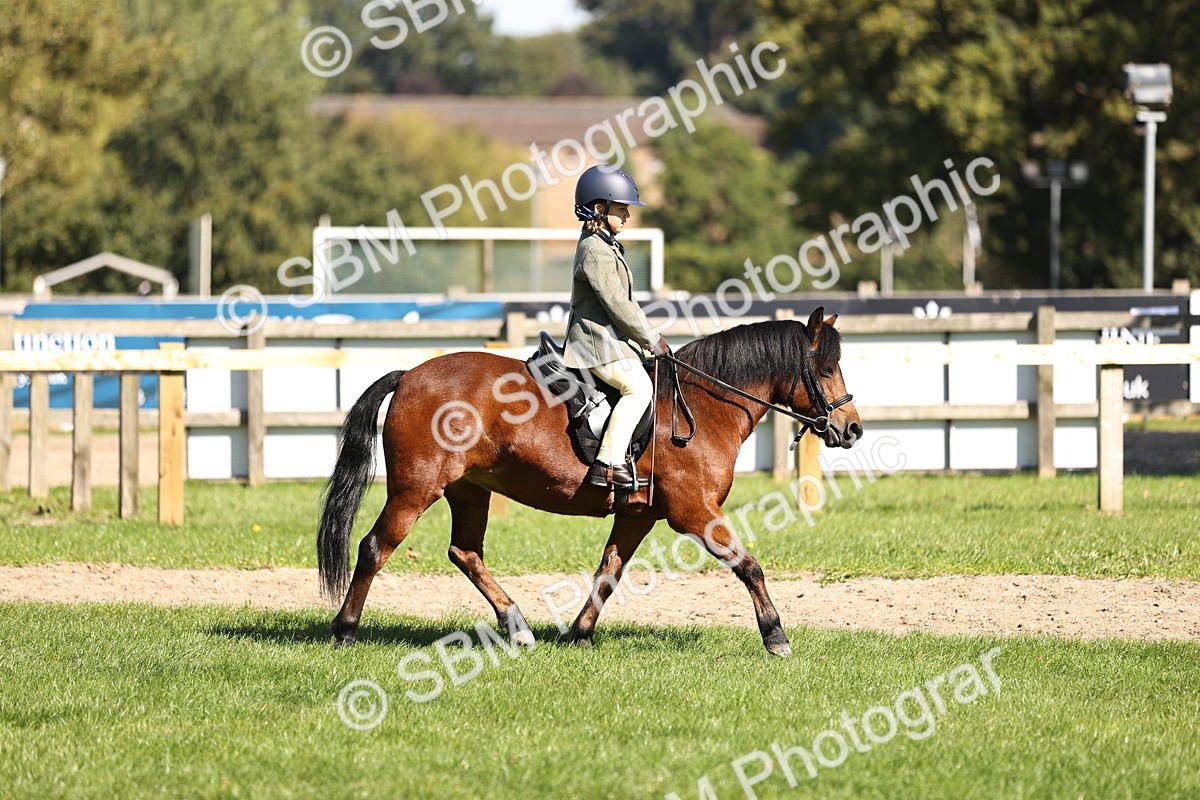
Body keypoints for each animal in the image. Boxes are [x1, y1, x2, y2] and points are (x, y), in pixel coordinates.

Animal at [317, 307, 862, 656]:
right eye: (825, 369)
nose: (853, 428)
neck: (704, 405)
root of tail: (410, 374)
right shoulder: (695, 512)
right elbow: (749, 567)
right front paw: (776, 636)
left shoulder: (638, 515)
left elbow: (608, 573)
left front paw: (579, 634)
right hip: (415, 489)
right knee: (375, 547)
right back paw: (345, 630)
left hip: (470, 489)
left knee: (465, 552)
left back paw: (516, 626)